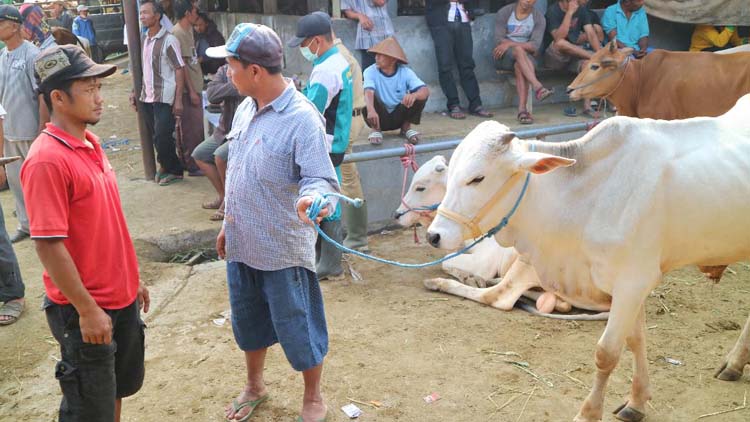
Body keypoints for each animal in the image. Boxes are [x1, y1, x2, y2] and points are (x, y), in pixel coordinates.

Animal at [426, 95, 750, 422]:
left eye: (477, 178)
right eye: (451, 173)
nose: (434, 235)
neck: (588, 198)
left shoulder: (633, 282)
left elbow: (606, 353)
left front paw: (589, 413)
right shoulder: (626, 287)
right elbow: (635, 340)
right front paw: (637, 401)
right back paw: (734, 364)